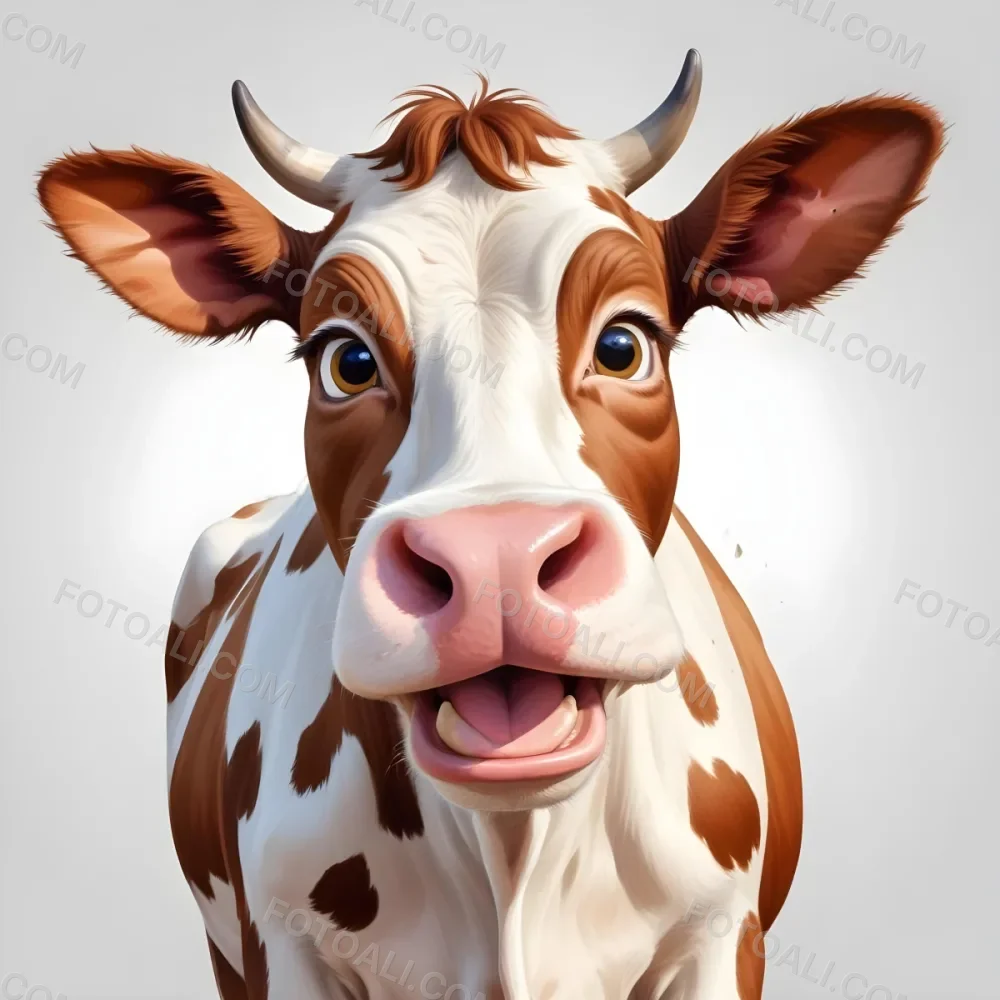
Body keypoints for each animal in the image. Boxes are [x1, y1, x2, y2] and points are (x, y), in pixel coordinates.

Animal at [38, 51, 943, 1000]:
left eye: (626, 343)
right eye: (343, 358)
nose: (495, 559)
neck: (514, 858)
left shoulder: (722, 934)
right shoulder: (278, 943)